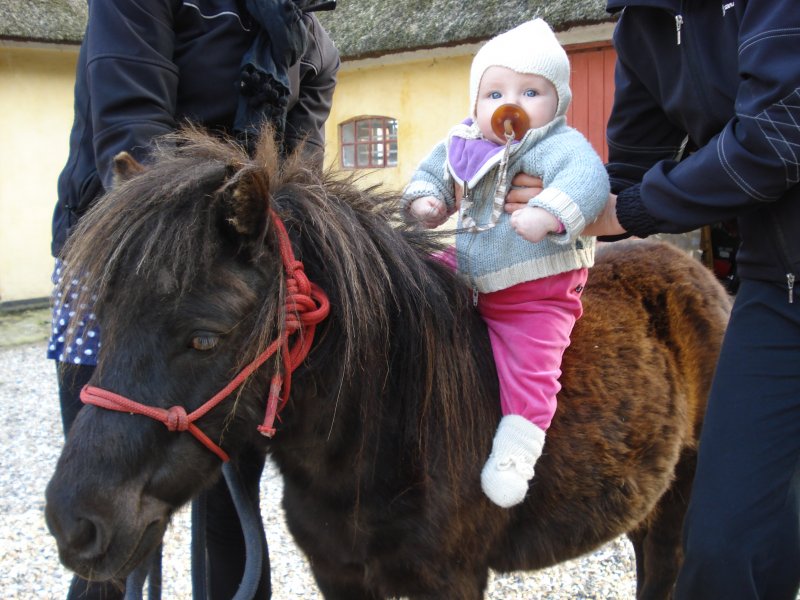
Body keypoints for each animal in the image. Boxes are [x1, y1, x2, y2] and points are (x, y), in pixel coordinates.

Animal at [45, 127, 731, 599]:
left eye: (205, 339)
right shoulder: (339, 575)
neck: (385, 432)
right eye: (103, 319)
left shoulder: (451, 580)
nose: (74, 524)